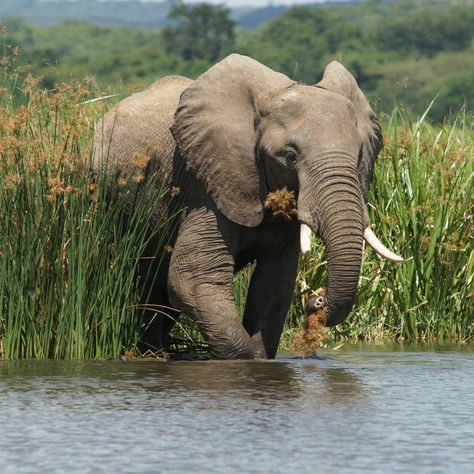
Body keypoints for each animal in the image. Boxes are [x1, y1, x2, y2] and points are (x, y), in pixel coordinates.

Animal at [90, 53, 402, 360]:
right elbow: (191, 278)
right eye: (289, 156)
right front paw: (245, 357)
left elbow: (274, 285)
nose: (317, 298)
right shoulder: (206, 185)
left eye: (360, 154)